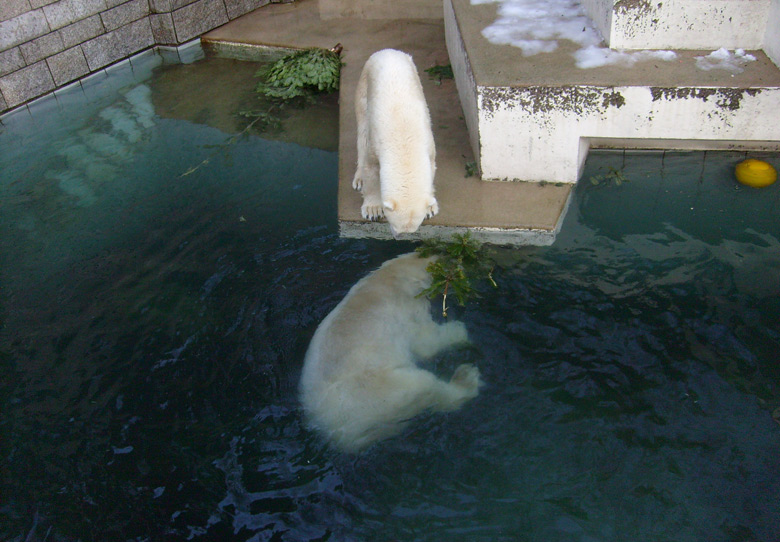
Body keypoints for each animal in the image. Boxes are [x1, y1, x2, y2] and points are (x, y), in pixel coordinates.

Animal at [298, 253, 482, 452]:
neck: (394, 274)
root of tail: (337, 435)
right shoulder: (409, 306)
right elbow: (426, 342)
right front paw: (460, 331)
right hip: (381, 395)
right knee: (426, 388)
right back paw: (467, 377)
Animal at [354, 49, 438, 238]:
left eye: (412, 229)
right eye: (395, 226)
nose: (399, 237)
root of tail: (387, 51)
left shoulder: (428, 142)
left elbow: (431, 167)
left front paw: (430, 207)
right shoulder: (376, 142)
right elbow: (371, 169)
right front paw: (372, 209)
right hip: (364, 86)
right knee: (361, 133)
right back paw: (358, 179)